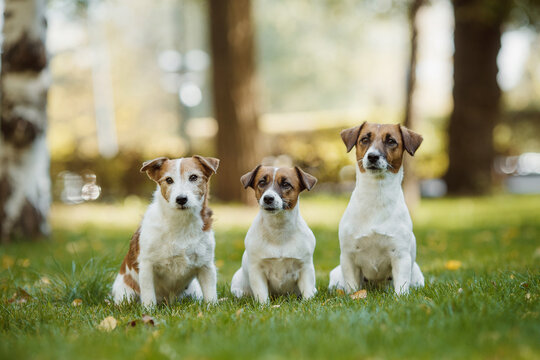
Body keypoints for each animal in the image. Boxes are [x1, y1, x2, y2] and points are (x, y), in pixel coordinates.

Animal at [112, 155, 221, 306]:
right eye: (169, 180)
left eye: (193, 177)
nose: (181, 199)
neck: (180, 223)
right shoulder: (146, 266)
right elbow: (148, 296)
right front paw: (149, 310)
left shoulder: (206, 266)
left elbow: (210, 295)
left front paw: (212, 307)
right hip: (125, 294)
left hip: (194, 290)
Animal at [230, 165, 318, 302]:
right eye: (261, 182)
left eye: (286, 184)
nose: (268, 198)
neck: (278, 230)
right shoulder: (257, 270)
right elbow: (261, 295)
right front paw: (263, 305)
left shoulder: (305, 268)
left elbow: (307, 292)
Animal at [330, 123, 426, 296]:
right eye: (364, 139)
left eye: (391, 141)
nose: (372, 156)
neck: (376, 196)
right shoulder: (348, 256)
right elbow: (352, 285)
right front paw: (354, 297)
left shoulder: (400, 255)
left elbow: (401, 285)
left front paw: (400, 298)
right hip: (336, 275)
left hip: (416, 275)